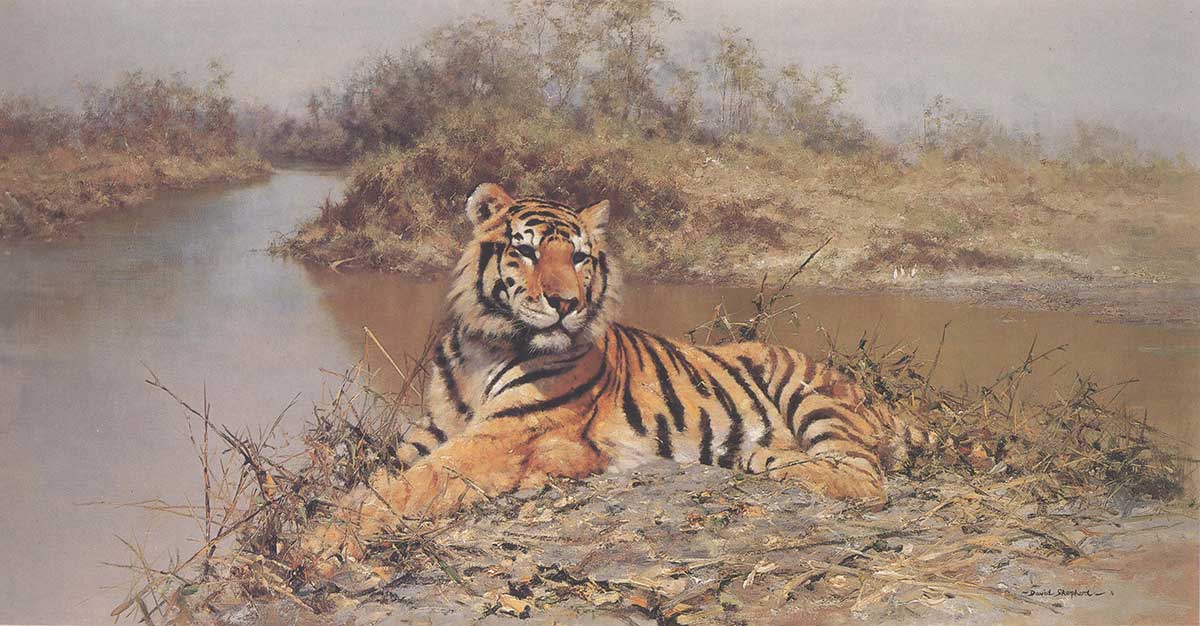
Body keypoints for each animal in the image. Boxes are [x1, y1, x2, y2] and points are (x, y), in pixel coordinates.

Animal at [295, 182, 936, 570]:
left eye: (579, 257)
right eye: (526, 251)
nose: (565, 304)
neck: (487, 341)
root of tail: (877, 398)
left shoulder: (500, 438)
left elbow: (409, 487)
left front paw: (318, 543)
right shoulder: (431, 430)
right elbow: (380, 476)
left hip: (805, 391)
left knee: (864, 476)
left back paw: (762, 457)